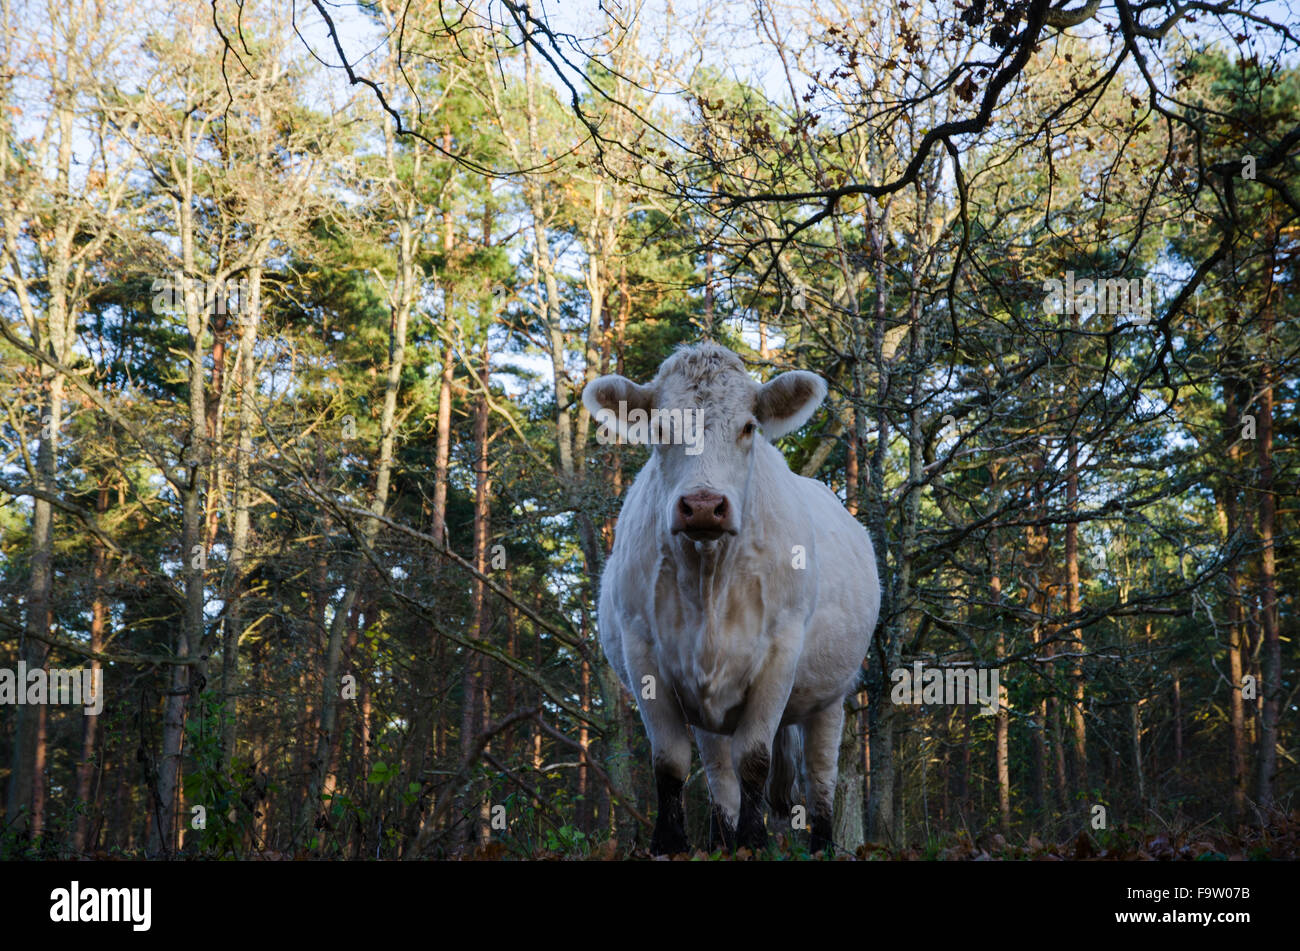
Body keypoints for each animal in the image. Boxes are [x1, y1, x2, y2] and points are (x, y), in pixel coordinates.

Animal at [585, 342, 878, 852]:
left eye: (747, 427)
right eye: (660, 428)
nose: (703, 506)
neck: (709, 579)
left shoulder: (780, 654)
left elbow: (756, 757)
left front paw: (754, 841)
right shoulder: (643, 653)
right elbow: (670, 761)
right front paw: (671, 843)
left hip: (829, 696)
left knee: (818, 772)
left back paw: (821, 842)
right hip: (709, 711)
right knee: (720, 773)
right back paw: (723, 837)